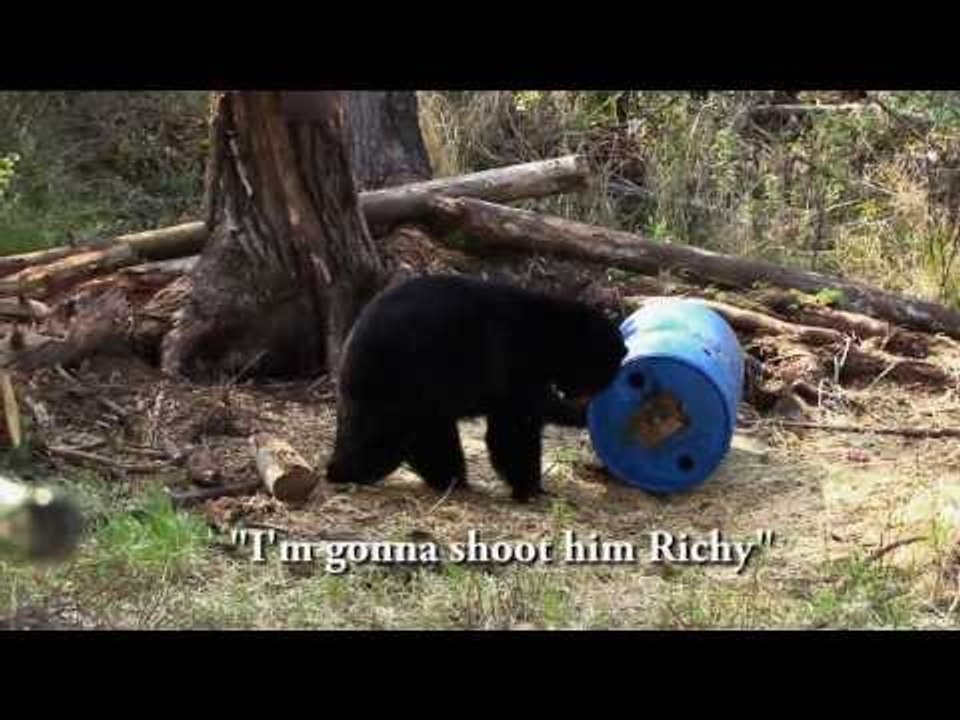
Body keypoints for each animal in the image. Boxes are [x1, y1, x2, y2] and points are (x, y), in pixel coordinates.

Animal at [325, 274, 626, 502]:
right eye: (609, 363)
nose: (624, 355)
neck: (552, 335)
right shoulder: (514, 362)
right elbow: (517, 425)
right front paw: (530, 488)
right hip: (400, 382)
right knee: (381, 439)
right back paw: (346, 472)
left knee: (431, 437)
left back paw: (451, 479)